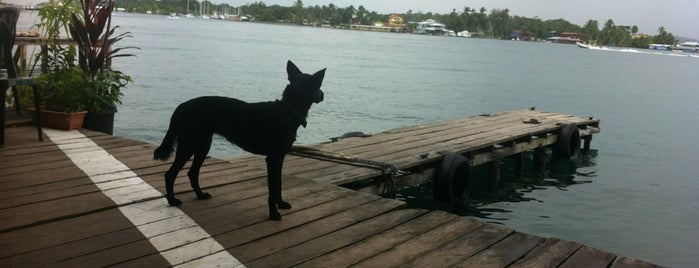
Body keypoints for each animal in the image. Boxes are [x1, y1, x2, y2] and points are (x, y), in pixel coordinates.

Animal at [153, 60, 326, 220]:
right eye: (318, 85)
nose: (323, 94)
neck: (288, 110)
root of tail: (181, 107)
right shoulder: (273, 159)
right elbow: (272, 188)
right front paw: (273, 213)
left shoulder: (280, 158)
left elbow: (278, 184)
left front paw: (281, 204)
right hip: (188, 145)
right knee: (170, 174)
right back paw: (172, 201)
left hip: (202, 145)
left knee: (192, 172)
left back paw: (201, 195)